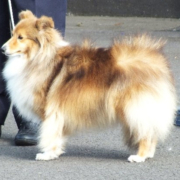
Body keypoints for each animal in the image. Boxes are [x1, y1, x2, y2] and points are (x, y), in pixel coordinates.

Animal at [1, 9, 176, 162]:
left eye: (21, 37)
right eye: (12, 34)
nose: (2, 49)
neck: (39, 56)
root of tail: (155, 61)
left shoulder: (51, 112)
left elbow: (51, 134)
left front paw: (47, 154)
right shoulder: (59, 113)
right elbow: (58, 135)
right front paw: (55, 153)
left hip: (134, 107)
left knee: (145, 132)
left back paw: (139, 157)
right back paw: (148, 154)